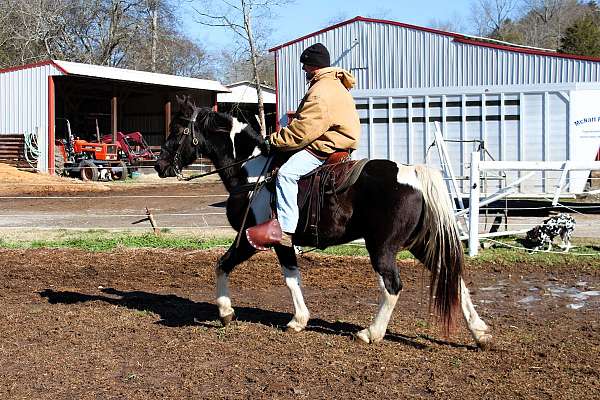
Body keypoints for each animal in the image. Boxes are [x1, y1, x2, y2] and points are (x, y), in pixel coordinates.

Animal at [155, 96, 492, 346]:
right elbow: (259, 271)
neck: (252, 174)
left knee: (392, 286)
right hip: (421, 244)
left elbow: (261, 272)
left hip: (382, 249)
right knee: (453, 276)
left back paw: (371, 333)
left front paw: (241, 313)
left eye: (178, 128)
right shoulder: (268, 243)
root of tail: (412, 173)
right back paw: (480, 333)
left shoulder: (261, 240)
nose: (159, 165)